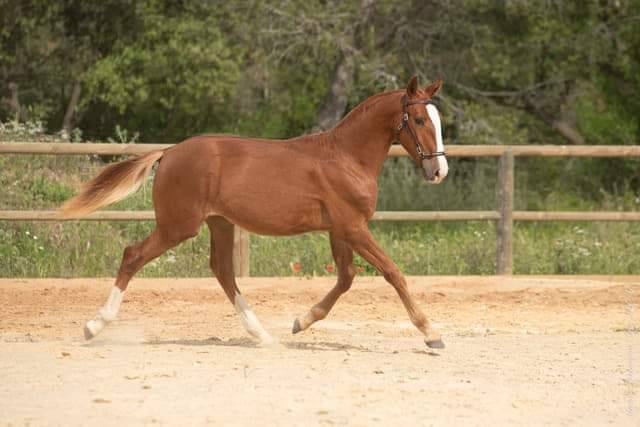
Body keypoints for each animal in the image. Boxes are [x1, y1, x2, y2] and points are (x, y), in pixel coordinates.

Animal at [61, 75, 450, 350]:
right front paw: (431, 332)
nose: (439, 171)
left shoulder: (340, 229)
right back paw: (93, 326)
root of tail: (169, 152)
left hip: (219, 224)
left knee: (223, 271)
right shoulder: (353, 227)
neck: (345, 157)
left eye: (437, 119)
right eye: (418, 119)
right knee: (133, 255)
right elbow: (392, 273)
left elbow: (346, 278)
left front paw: (300, 322)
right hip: (178, 226)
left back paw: (262, 335)